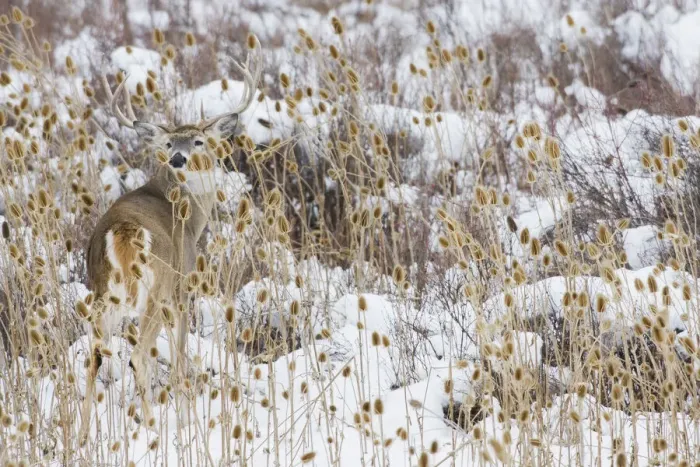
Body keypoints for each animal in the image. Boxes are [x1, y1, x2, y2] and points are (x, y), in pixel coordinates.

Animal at [78, 47, 262, 443]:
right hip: (155, 291)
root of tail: (122, 233)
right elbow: (179, 356)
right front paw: (185, 412)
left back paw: (84, 437)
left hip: (102, 295)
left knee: (95, 356)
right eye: (168, 144)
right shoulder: (183, 286)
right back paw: (152, 429)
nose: (178, 158)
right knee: (138, 356)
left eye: (198, 141)